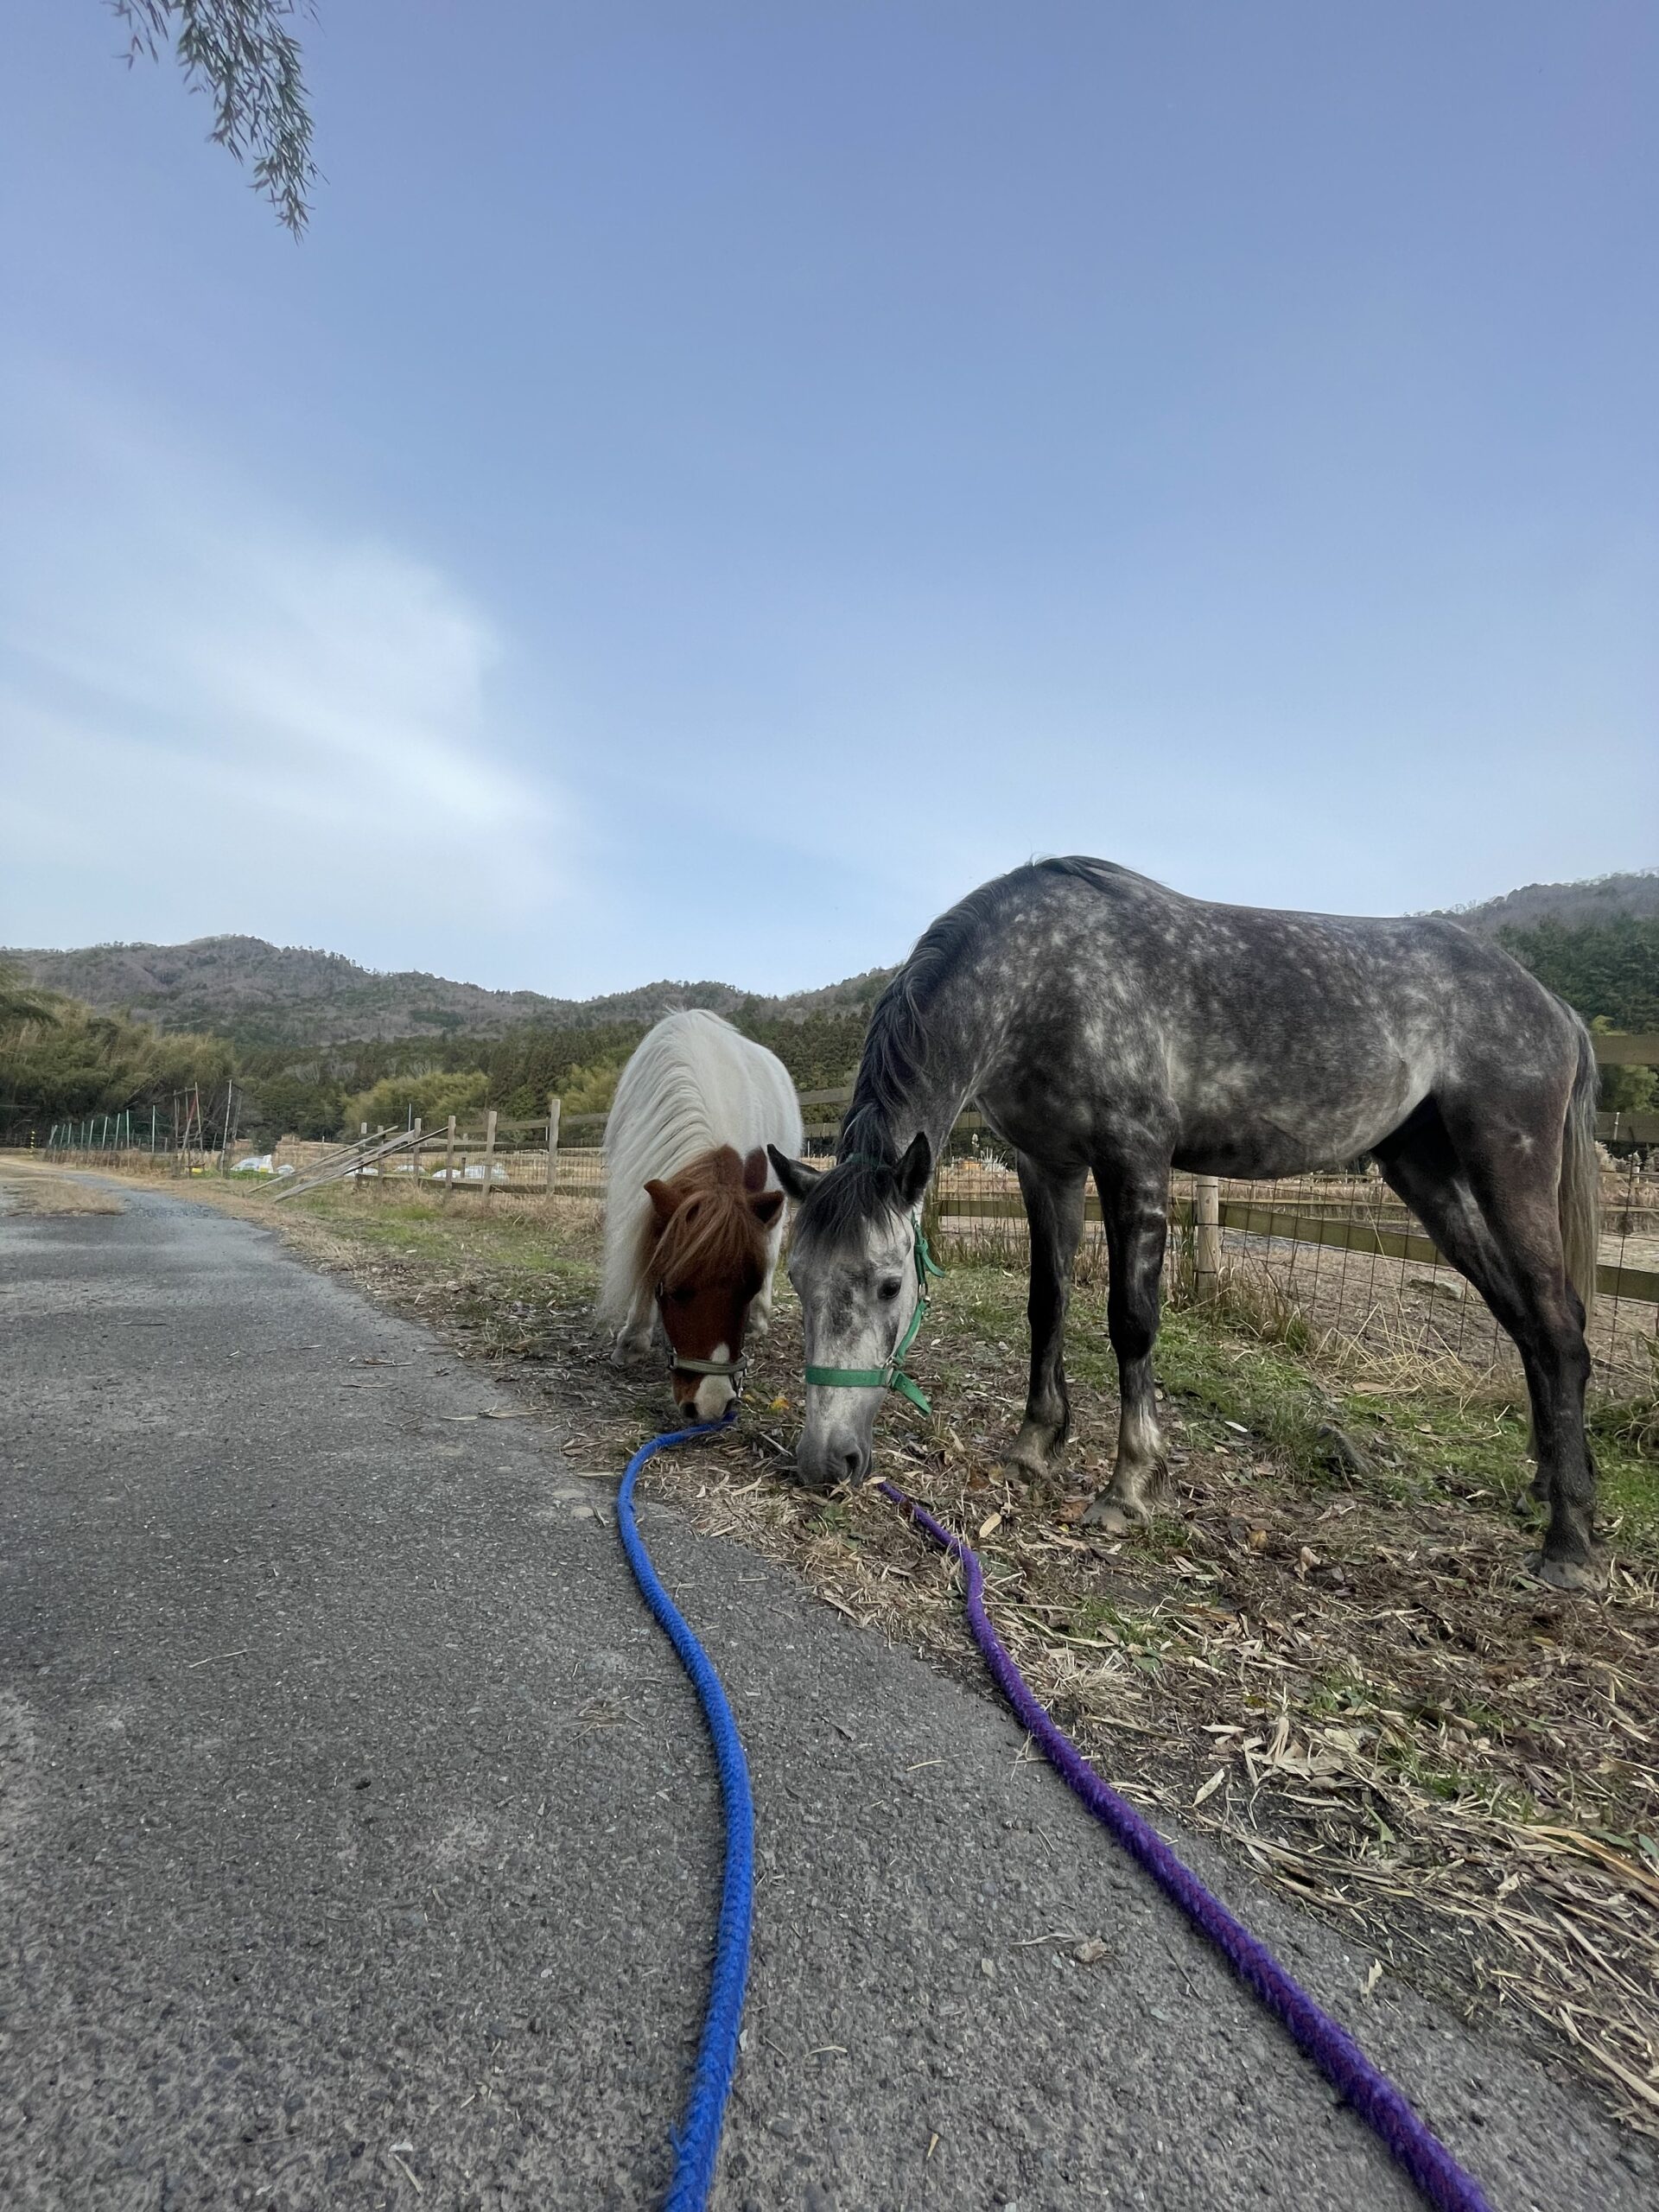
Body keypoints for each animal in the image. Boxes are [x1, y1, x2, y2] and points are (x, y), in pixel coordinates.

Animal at [774, 858, 1601, 1592]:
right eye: (798, 1280)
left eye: (891, 1285)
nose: (825, 1463)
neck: (1048, 977)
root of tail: (1554, 1007)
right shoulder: (1048, 1168)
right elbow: (1048, 1306)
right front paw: (1035, 1447)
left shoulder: (1136, 1161)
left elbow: (1131, 1322)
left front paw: (1130, 1487)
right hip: (1424, 1172)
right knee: (1525, 1320)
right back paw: (1544, 1486)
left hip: (1507, 1163)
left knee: (1558, 1325)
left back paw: (1569, 1543)